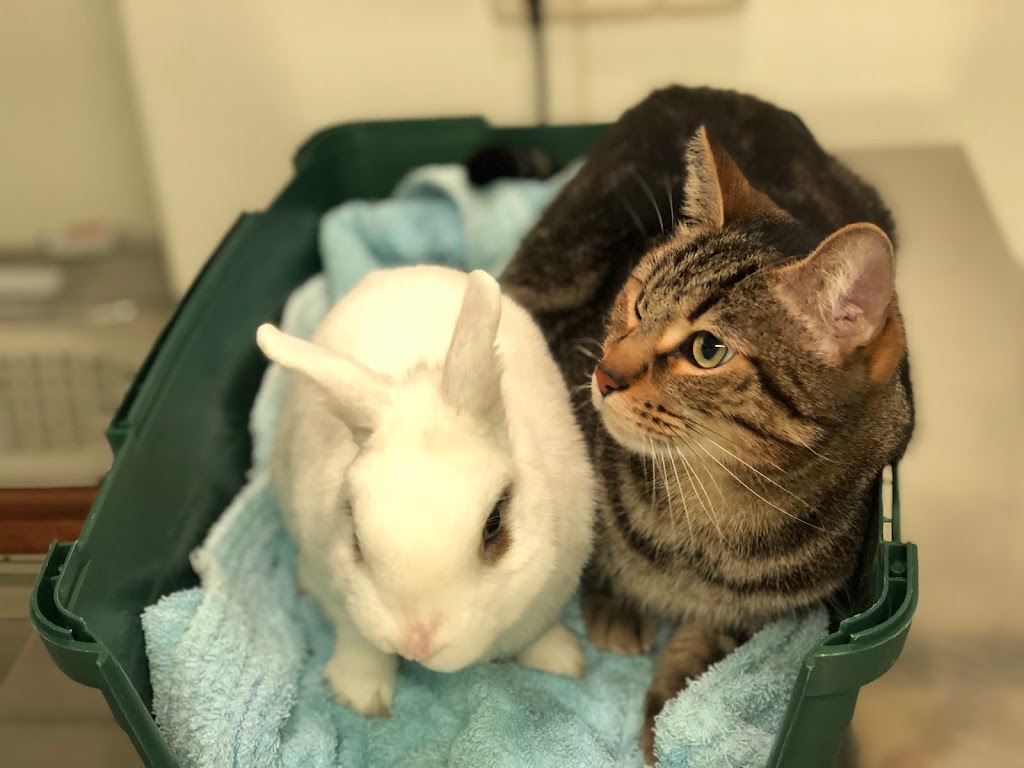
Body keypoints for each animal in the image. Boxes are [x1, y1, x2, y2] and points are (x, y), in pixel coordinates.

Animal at [256, 265, 595, 718]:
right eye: (356, 538)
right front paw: (360, 697)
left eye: (494, 524)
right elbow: (358, 640)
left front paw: (561, 662)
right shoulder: (343, 594)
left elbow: (539, 632)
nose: (416, 642)